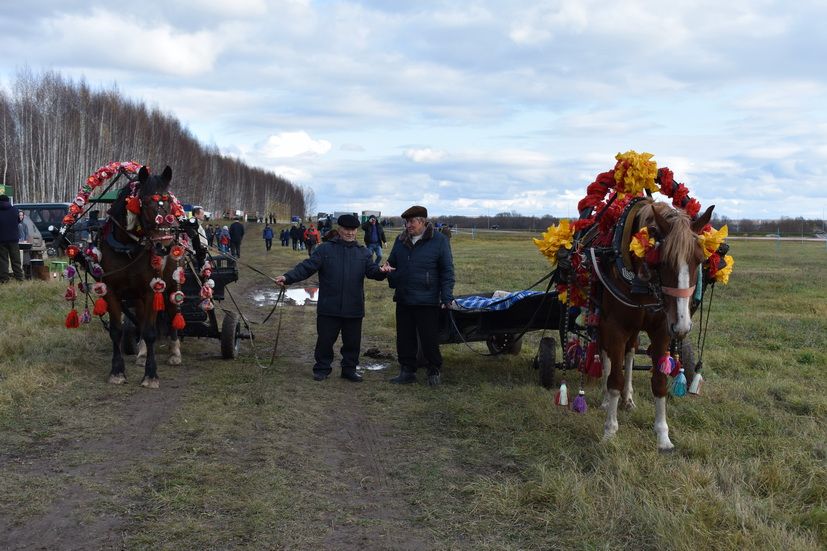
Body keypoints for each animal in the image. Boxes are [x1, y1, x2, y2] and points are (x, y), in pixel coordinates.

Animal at [101, 167, 182, 388]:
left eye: (170, 202)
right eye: (145, 203)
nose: (165, 245)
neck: (126, 248)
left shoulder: (151, 291)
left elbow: (150, 332)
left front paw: (151, 374)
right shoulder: (111, 290)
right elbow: (117, 331)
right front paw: (117, 371)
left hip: (172, 286)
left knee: (173, 313)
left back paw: (174, 352)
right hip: (137, 297)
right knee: (141, 318)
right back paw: (142, 354)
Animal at [592, 201, 716, 450]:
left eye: (699, 259)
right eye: (662, 261)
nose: (682, 325)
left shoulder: (662, 331)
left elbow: (659, 382)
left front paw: (662, 436)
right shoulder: (614, 328)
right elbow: (614, 379)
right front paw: (610, 431)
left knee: (630, 353)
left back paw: (628, 398)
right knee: (607, 356)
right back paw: (606, 399)